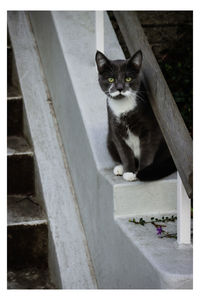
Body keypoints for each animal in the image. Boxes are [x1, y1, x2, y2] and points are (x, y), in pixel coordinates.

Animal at [95, 49, 175, 180]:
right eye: (111, 79)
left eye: (128, 78)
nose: (120, 88)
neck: (123, 107)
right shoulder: (115, 130)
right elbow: (124, 152)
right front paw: (128, 172)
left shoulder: (151, 129)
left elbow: (147, 151)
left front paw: (142, 171)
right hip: (109, 141)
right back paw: (120, 168)